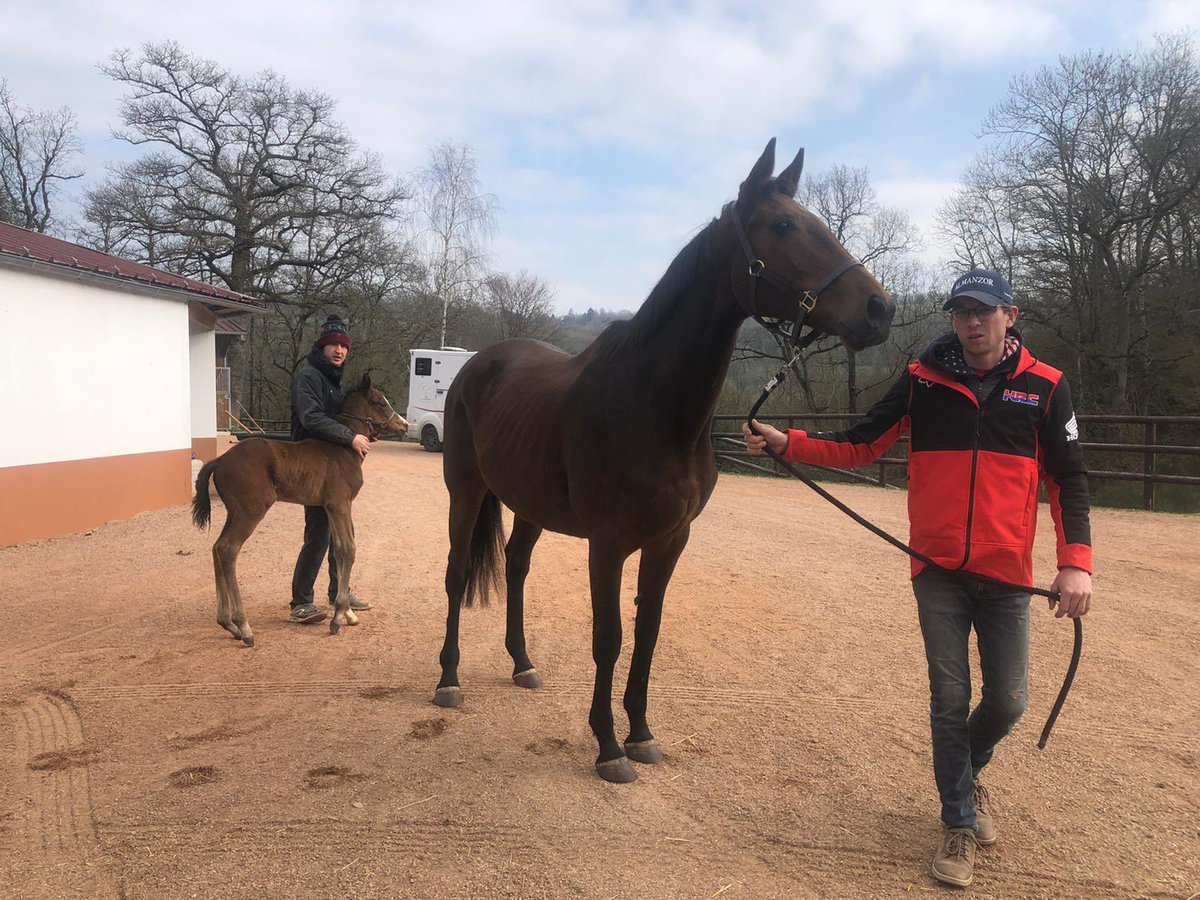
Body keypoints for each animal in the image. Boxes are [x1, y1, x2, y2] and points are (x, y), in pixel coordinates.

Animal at [192, 374, 405, 648]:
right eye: (379, 402)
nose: (404, 425)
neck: (344, 448)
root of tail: (220, 460)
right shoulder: (339, 503)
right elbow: (348, 548)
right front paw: (338, 616)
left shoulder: (330, 507)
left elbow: (338, 549)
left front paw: (347, 611)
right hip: (251, 511)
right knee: (228, 550)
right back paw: (244, 627)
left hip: (235, 512)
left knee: (217, 548)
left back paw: (228, 623)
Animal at [436, 139, 897, 782]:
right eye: (783, 226)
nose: (880, 310)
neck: (652, 405)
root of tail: (476, 366)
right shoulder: (607, 544)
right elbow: (608, 637)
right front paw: (608, 747)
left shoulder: (670, 540)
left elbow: (648, 633)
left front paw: (641, 734)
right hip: (466, 488)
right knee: (456, 574)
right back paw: (448, 679)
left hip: (529, 504)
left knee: (517, 565)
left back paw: (523, 663)